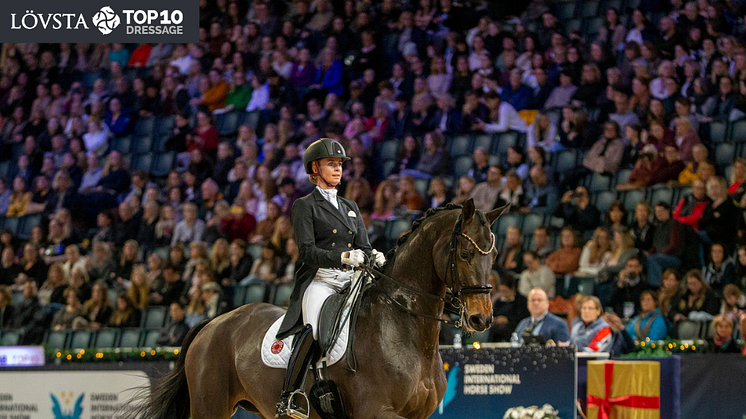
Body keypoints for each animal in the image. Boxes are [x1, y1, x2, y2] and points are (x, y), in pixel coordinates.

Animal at [134, 199, 506, 419]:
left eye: (494, 255)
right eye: (465, 254)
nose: (481, 318)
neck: (401, 329)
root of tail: (213, 324)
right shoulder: (378, 412)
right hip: (210, 406)